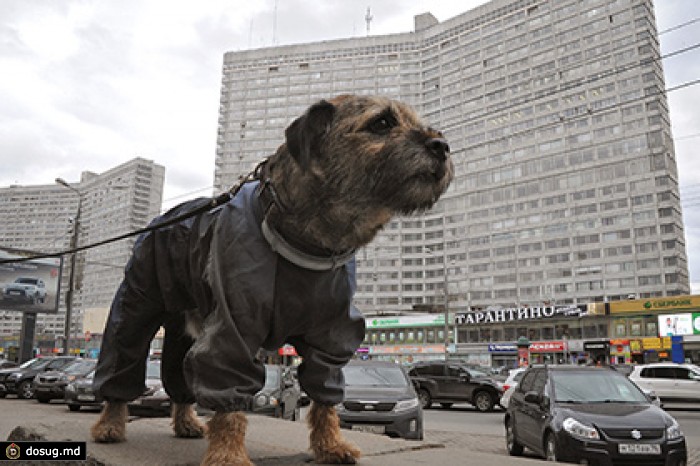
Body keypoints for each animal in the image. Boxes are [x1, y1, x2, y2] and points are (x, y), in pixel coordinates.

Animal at [89, 93, 454, 462]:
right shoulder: (233, 330)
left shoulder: (331, 337)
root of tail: (163, 218)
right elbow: (230, 401)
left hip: (184, 331)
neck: (309, 241)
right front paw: (229, 455)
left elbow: (324, 397)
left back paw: (186, 421)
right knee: (121, 363)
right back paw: (110, 424)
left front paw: (329, 444)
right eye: (382, 123)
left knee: (179, 376)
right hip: (136, 308)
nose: (442, 145)